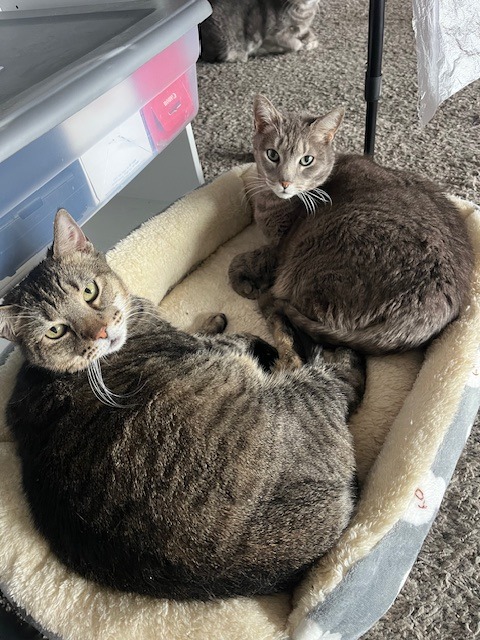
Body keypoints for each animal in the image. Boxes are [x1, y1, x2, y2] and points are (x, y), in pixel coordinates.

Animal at [0, 208, 365, 601]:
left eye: (89, 291)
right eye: (55, 331)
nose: (101, 333)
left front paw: (212, 321)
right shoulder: (211, 349)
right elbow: (239, 340)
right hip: (308, 398)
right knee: (342, 378)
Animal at [228, 95, 474, 363]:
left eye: (306, 160)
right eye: (272, 155)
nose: (285, 182)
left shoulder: (279, 247)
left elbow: (244, 257)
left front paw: (244, 280)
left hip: (308, 268)